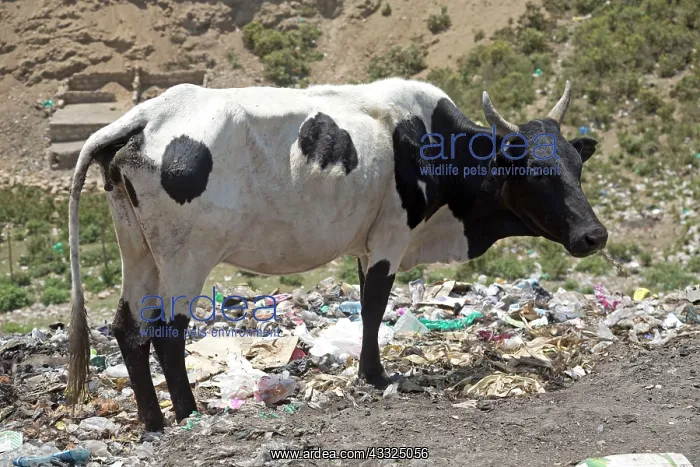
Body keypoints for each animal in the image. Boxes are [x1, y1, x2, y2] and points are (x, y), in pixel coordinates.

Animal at [66, 78, 607, 432]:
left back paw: (153, 420)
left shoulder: (367, 245)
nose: (594, 235)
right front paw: (376, 375)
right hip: (187, 256)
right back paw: (188, 413)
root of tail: (148, 115)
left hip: (139, 251)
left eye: (576, 166)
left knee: (128, 328)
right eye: (533, 170)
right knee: (167, 332)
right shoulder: (390, 237)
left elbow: (368, 305)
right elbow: (374, 307)